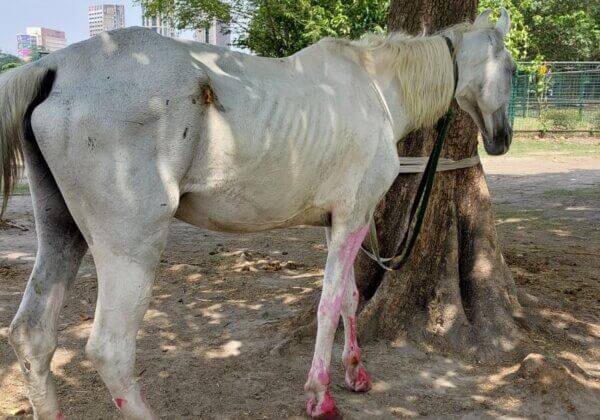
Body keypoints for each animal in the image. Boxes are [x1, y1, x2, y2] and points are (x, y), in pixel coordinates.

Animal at [2, 7, 512, 420]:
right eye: (509, 67)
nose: (502, 138)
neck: (374, 89)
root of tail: (54, 66)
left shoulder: (340, 223)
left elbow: (348, 299)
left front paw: (356, 374)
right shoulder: (353, 219)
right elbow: (329, 305)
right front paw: (320, 397)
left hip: (61, 232)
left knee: (32, 336)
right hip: (130, 249)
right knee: (111, 350)